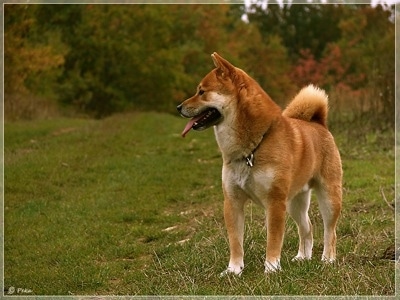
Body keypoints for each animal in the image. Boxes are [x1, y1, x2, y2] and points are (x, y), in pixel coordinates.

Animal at [177, 52, 342, 276]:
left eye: (201, 92)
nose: (178, 107)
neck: (250, 150)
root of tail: (319, 124)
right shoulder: (232, 201)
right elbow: (235, 241)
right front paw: (233, 269)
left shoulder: (274, 203)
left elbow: (273, 240)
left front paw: (271, 267)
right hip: (295, 202)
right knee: (307, 228)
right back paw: (302, 257)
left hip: (328, 197)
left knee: (329, 231)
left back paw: (327, 259)